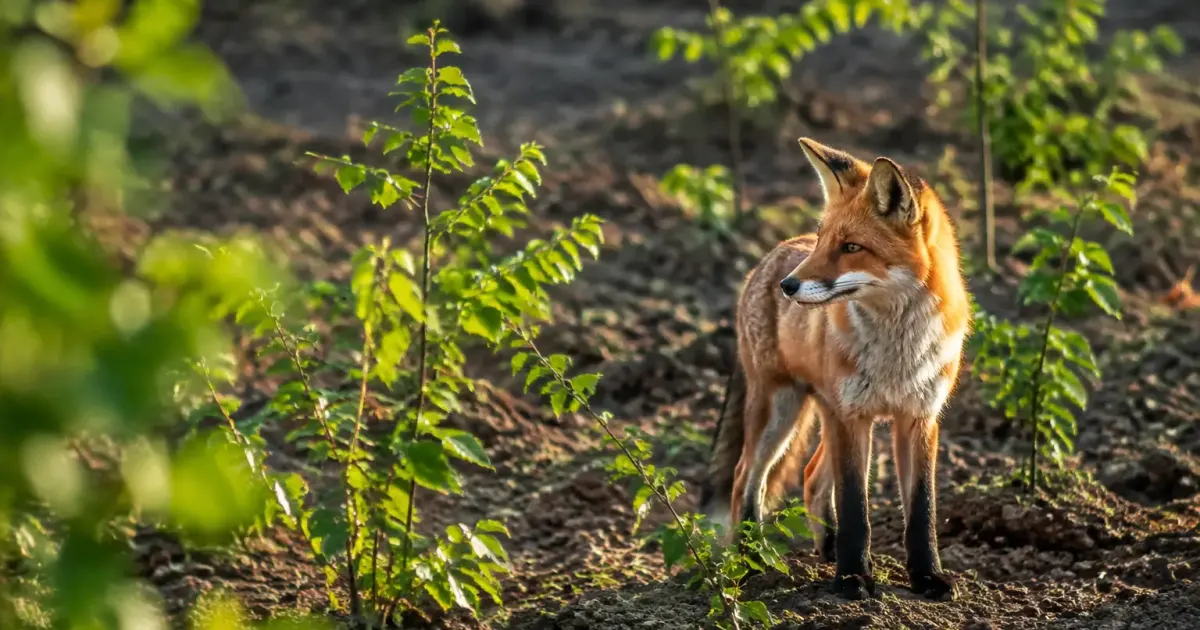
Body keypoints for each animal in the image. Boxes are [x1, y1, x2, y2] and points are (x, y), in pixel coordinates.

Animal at [697, 137, 971, 601]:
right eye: (824, 241)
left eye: (852, 247)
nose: (788, 286)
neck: (897, 349)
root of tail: (772, 254)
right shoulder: (853, 417)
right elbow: (855, 507)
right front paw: (853, 579)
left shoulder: (918, 417)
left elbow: (922, 510)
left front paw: (927, 577)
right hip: (780, 409)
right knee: (744, 478)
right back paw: (750, 559)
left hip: (826, 413)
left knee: (809, 476)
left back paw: (827, 548)